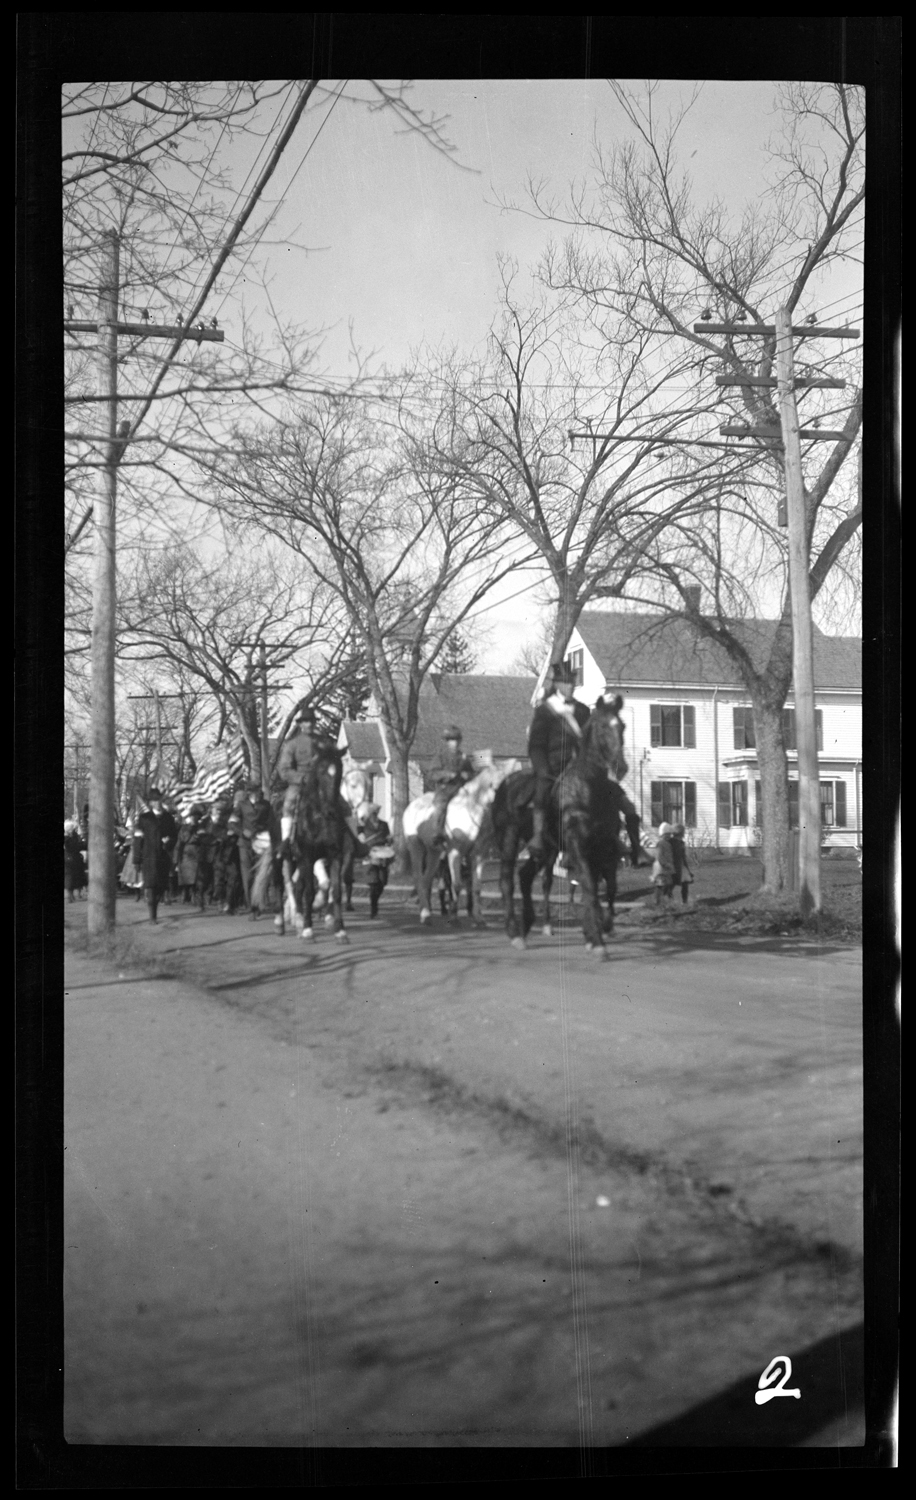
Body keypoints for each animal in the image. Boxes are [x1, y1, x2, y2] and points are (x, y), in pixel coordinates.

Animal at [401, 756, 515, 918]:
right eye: (495, 785)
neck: (472, 811)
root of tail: (410, 806)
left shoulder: (479, 853)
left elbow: (476, 886)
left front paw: (478, 917)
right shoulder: (455, 851)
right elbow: (456, 885)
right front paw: (453, 915)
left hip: (434, 852)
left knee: (427, 878)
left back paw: (427, 910)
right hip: (416, 846)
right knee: (418, 877)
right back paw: (425, 913)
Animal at [494, 693, 629, 954]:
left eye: (623, 726)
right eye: (601, 727)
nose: (621, 767)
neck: (589, 789)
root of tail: (506, 783)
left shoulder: (603, 849)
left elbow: (607, 887)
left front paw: (600, 928)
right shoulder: (578, 846)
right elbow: (589, 885)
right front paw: (596, 939)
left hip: (547, 848)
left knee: (526, 876)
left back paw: (528, 924)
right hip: (509, 840)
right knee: (507, 881)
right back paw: (514, 931)